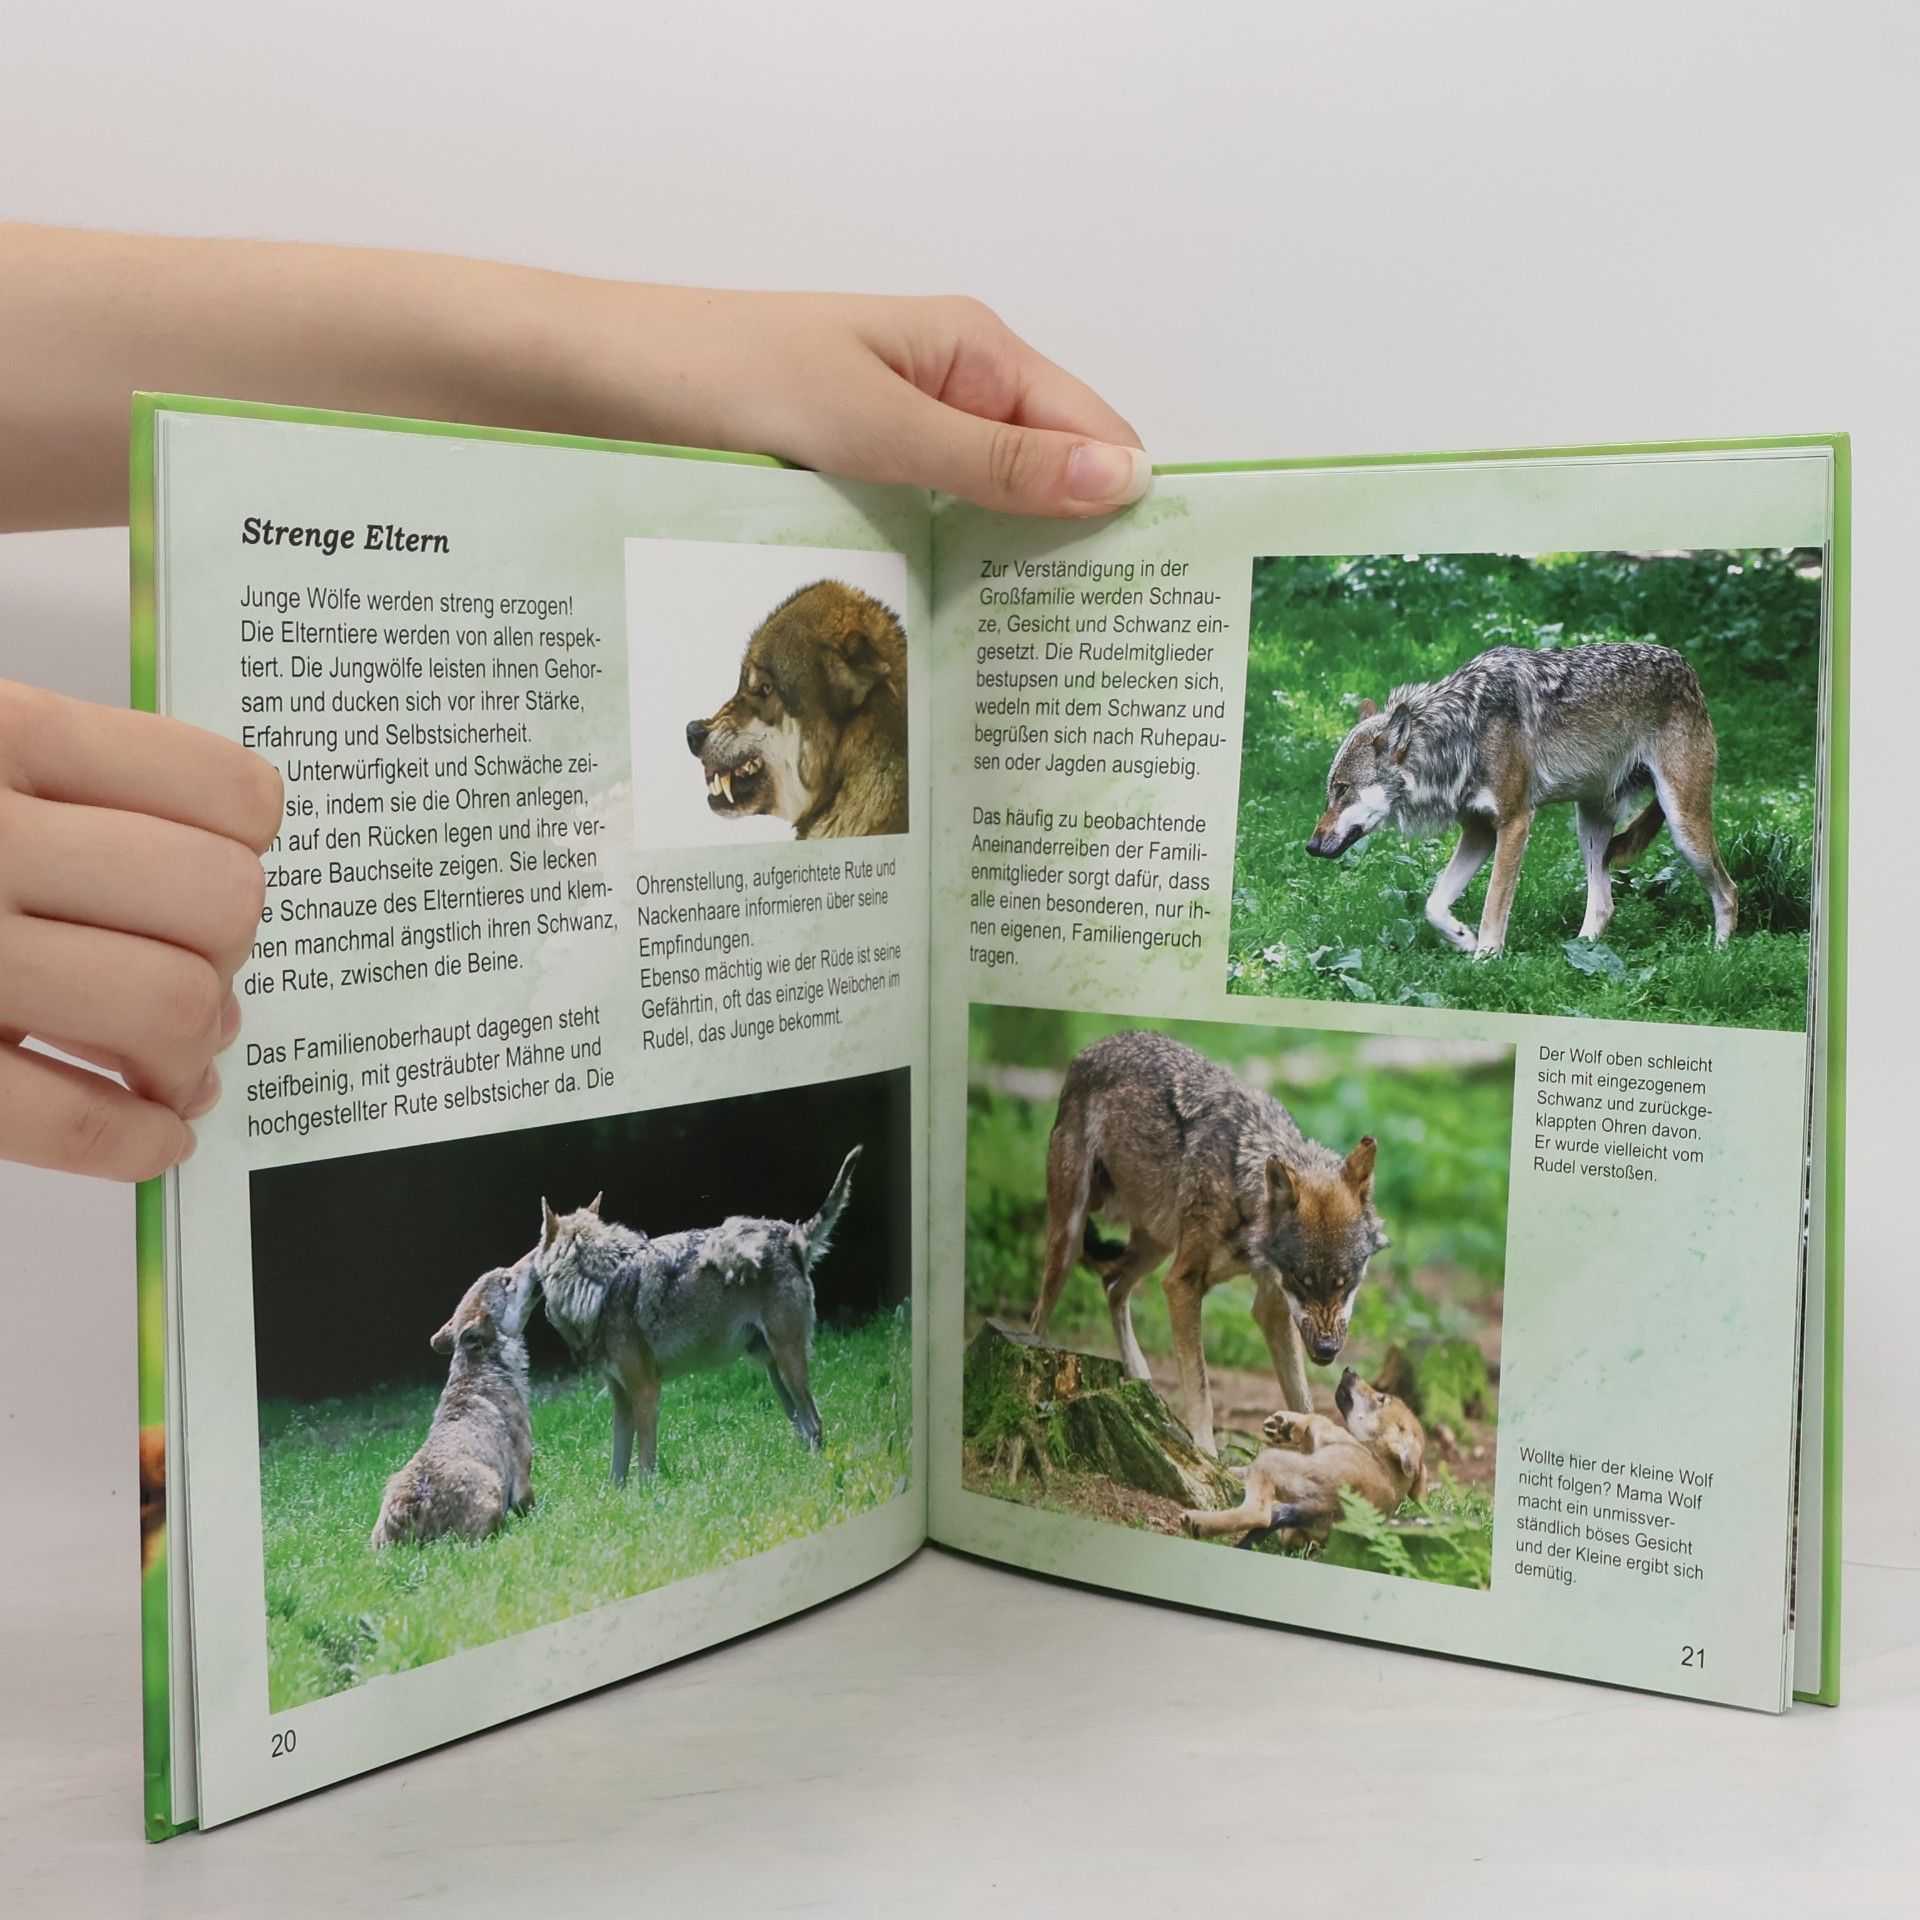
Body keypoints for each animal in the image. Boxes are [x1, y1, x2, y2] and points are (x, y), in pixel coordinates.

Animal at [371, 1258, 541, 1549]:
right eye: (506, 1280)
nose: (535, 1256)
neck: (488, 1370)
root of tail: (412, 1507)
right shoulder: (522, 1476)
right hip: (492, 1491)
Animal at [532, 1147, 860, 1484]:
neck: (599, 1284)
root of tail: (794, 1235)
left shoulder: (646, 1392)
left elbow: (645, 1466)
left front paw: (648, 1494)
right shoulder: (621, 1400)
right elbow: (617, 1473)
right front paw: (617, 1496)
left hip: (787, 1364)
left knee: (815, 1423)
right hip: (773, 1371)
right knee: (805, 1429)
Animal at [1027, 1031, 1388, 1456]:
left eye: (1346, 1283)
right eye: (1303, 1281)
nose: (1329, 1350)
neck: (1241, 1184)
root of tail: (1091, 1049)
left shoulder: (1271, 1307)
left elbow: (1302, 1398)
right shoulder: (1182, 1284)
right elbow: (1200, 1390)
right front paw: (1207, 1453)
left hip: (1157, 1245)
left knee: (1113, 1284)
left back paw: (1140, 1378)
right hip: (1072, 1237)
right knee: (1043, 1313)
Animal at [1180, 1368, 1427, 1547]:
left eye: (1381, 1398)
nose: (1349, 1369)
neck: (1380, 1458)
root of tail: (1327, 1504)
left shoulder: (1332, 1433)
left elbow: (1318, 1417)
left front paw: (1288, 1424)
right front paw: (1284, 1427)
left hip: (1271, 1459)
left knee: (1259, 1514)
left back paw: (1197, 1522)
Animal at [1306, 640, 1737, 956]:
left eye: (1342, 789)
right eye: (1330, 791)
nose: (1310, 846)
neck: (1464, 733)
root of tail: (1687, 668)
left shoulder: (1514, 822)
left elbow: (1494, 904)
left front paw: (1485, 959)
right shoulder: (1478, 831)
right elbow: (1433, 905)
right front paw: (1464, 939)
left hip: (1683, 826)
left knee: (1729, 892)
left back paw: (1718, 956)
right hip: (1590, 831)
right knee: (1603, 907)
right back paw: (1575, 953)